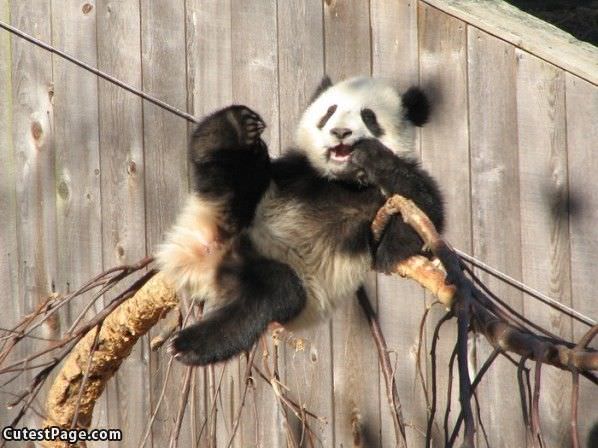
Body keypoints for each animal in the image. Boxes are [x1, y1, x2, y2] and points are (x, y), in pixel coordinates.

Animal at [156, 76, 446, 364]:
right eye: (329, 113)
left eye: (368, 116)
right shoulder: (296, 170)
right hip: (236, 212)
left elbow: (413, 227)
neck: (344, 182)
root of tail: (209, 261)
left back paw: (190, 344)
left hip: (280, 279)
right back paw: (233, 127)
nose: (340, 132)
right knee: (236, 176)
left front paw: (373, 155)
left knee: (272, 295)